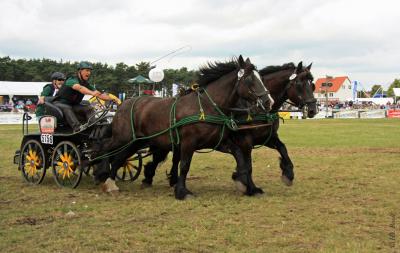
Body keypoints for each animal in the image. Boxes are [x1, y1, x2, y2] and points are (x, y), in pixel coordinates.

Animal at [95, 55, 270, 200]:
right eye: (250, 79)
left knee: (120, 157)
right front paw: (182, 191)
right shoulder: (188, 143)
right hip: (123, 138)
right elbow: (184, 165)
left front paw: (247, 185)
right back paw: (101, 174)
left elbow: (240, 157)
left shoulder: (217, 142)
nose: (268, 102)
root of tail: (122, 104)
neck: (206, 107)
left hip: (136, 141)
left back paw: (110, 181)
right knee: (104, 147)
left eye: (261, 78)